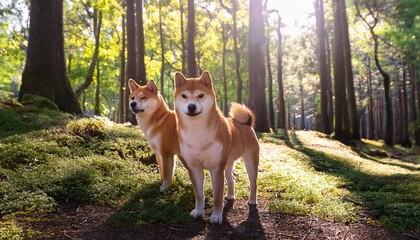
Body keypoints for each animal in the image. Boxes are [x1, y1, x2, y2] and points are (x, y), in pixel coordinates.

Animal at [173, 70, 260, 224]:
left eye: (200, 95)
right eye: (184, 96)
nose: (191, 106)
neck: (197, 132)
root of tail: (247, 123)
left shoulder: (216, 168)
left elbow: (217, 196)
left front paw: (216, 216)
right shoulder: (194, 168)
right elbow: (199, 194)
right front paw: (198, 211)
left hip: (250, 161)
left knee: (253, 182)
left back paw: (252, 200)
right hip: (228, 163)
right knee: (231, 179)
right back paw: (231, 195)